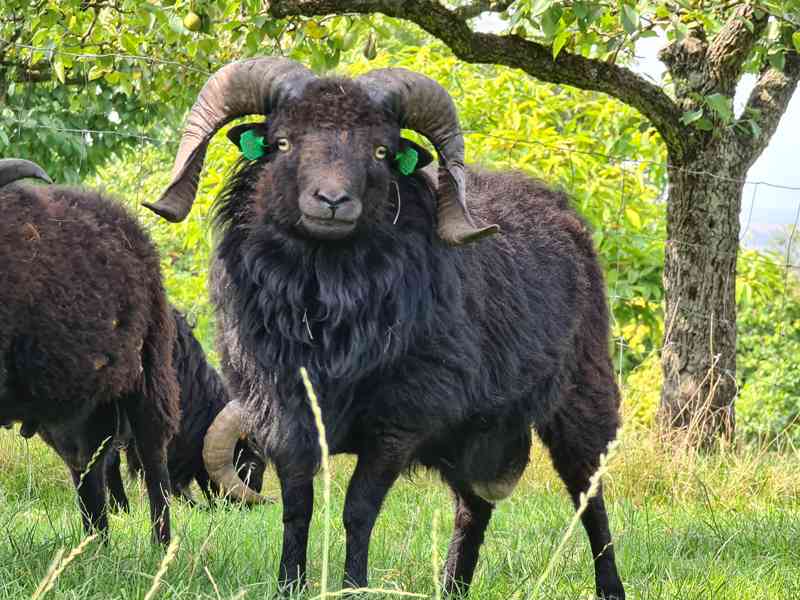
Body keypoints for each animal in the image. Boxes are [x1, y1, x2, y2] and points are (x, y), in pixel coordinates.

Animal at [0, 162, 178, 548]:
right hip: (78, 404)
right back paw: (96, 546)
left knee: (154, 460)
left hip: (150, 370)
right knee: (88, 465)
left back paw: (161, 547)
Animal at [147, 58, 628, 596]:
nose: (332, 200)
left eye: (380, 150)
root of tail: (561, 209)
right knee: (473, 509)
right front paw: (289, 584)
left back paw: (610, 587)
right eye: (283, 142)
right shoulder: (286, 416)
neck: (326, 310)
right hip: (469, 436)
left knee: (590, 499)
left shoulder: (397, 421)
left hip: (581, 397)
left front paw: (354, 586)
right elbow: (297, 509)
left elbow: (359, 510)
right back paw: (452, 588)